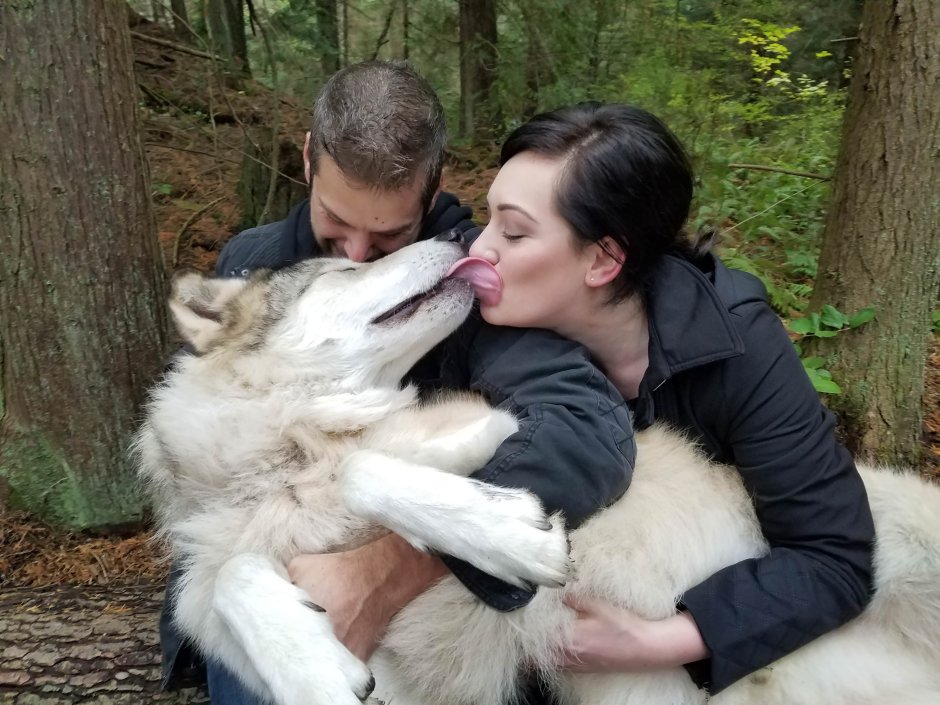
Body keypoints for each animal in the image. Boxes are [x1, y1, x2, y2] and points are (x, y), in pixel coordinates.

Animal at [139, 239, 940, 705]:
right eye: (346, 269)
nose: (458, 237)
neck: (288, 458)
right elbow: (234, 577)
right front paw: (309, 669)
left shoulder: (510, 423)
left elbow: (370, 468)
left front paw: (505, 530)